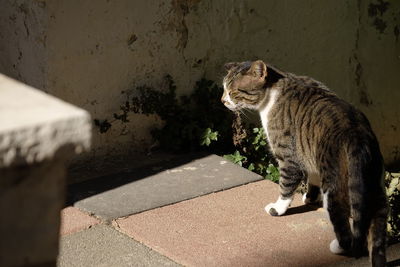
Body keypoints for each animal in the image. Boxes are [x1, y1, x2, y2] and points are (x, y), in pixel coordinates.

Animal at [222, 60, 388, 267]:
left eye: (233, 92)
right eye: (224, 89)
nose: (222, 100)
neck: (275, 88)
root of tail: (356, 134)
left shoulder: (288, 157)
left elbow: (286, 186)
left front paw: (277, 208)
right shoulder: (310, 154)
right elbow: (312, 179)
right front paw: (309, 198)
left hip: (334, 186)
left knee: (343, 224)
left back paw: (339, 247)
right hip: (376, 186)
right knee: (378, 228)